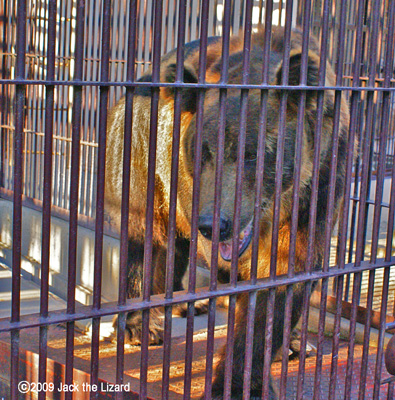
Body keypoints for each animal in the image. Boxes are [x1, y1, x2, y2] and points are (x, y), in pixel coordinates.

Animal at [104, 26, 350, 398]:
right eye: (203, 151)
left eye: (251, 154)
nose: (214, 223)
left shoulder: (315, 205)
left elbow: (275, 299)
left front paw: (246, 379)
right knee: (143, 239)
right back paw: (138, 324)